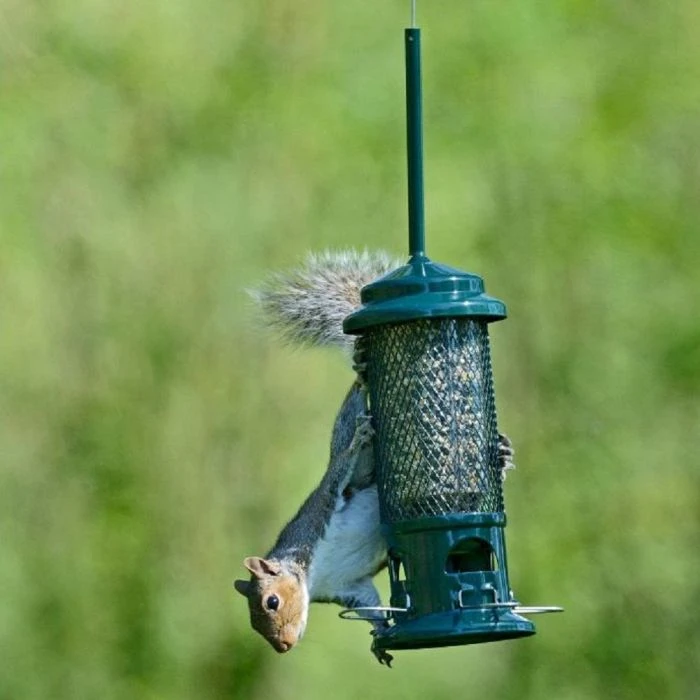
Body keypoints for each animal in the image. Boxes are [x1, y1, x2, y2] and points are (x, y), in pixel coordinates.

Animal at [235, 250, 515, 667]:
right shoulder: (349, 587)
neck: (313, 572)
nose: (282, 646)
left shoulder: (325, 509)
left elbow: (343, 471)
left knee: (356, 415)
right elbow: (371, 608)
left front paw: (354, 445)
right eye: (254, 623)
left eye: (271, 601)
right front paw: (380, 638)